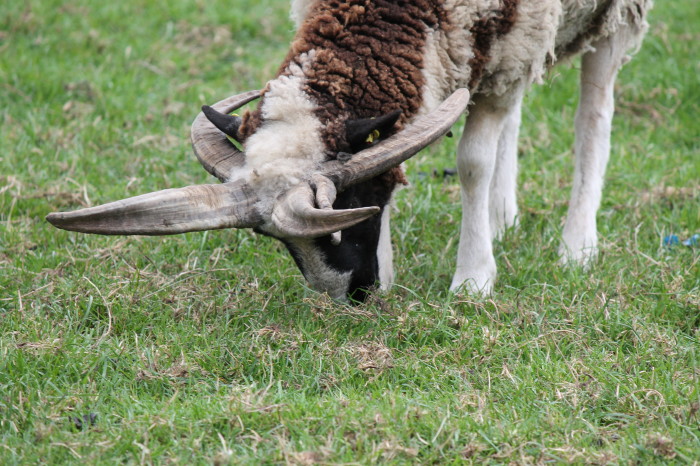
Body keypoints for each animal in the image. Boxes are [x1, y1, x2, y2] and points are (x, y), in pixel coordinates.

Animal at [48, 0, 652, 301]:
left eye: (339, 220)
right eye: (277, 243)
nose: (350, 297)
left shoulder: (512, 41)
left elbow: (472, 162)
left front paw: (474, 280)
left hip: (612, 18)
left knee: (594, 113)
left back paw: (577, 244)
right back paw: (504, 214)